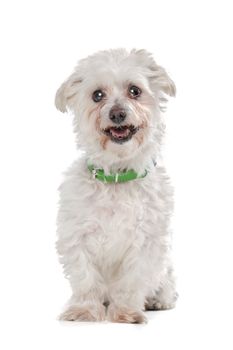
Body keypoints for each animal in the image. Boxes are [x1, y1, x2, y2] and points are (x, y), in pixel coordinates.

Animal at [55, 48, 177, 322]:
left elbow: (131, 282)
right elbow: (86, 278)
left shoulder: (146, 243)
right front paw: (85, 310)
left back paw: (157, 301)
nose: (117, 114)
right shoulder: (78, 237)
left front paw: (126, 312)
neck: (117, 178)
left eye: (135, 90)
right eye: (97, 95)